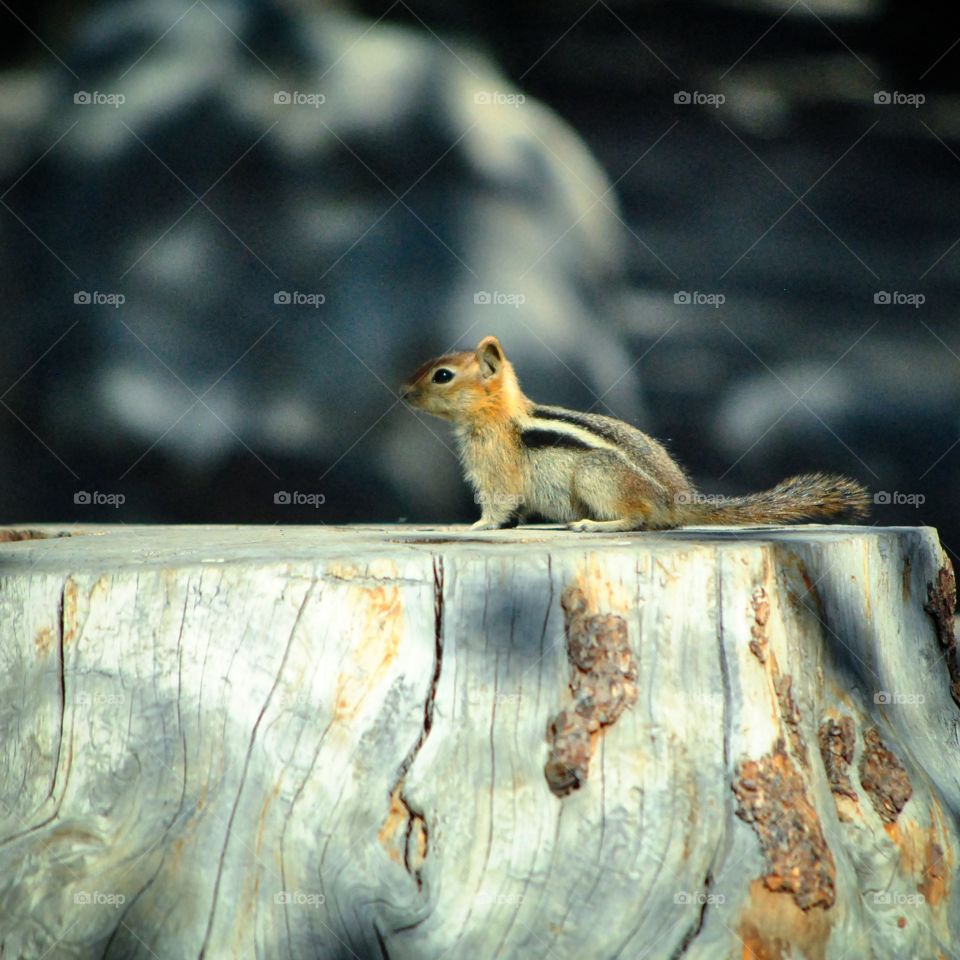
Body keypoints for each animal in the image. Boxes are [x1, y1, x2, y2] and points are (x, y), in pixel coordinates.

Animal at [400, 335, 870, 532]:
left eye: (442, 376)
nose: (402, 393)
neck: (501, 416)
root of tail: (677, 500)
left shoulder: (494, 466)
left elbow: (497, 504)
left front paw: (472, 527)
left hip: (596, 473)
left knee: (640, 519)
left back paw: (594, 526)